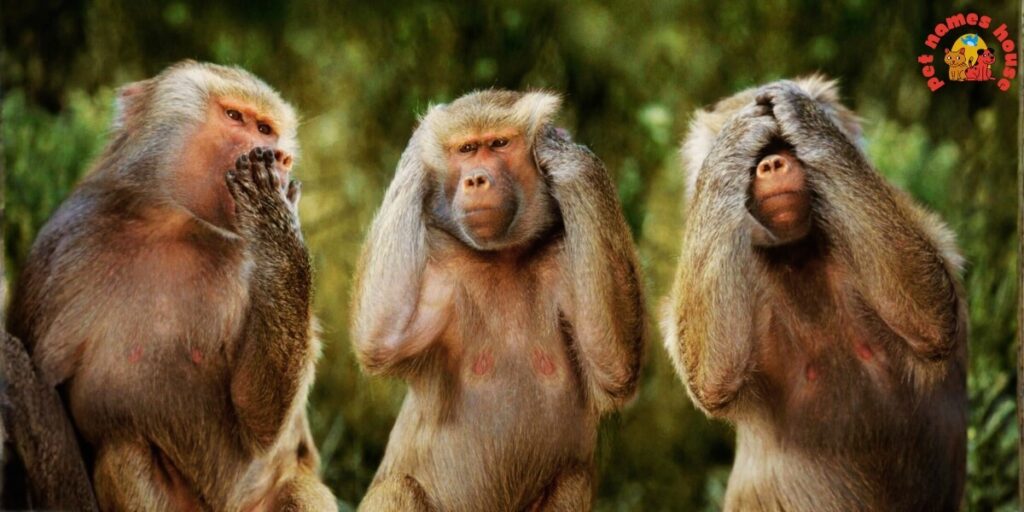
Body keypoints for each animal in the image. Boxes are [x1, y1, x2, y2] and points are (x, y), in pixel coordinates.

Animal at [7, 60, 337, 512]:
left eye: (268, 128)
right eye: (237, 118)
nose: (282, 157)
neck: (173, 225)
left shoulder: (248, 262)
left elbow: (258, 422)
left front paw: (274, 218)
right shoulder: (65, 242)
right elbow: (40, 388)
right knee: (124, 452)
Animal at [351, 90, 645, 511]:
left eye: (499, 144)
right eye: (467, 149)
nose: (476, 179)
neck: (504, 256)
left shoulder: (565, 256)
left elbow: (615, 368)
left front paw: (565, 154)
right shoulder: (442, 263)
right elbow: (381, 339)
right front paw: (417, 148)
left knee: (572, 481)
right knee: (396, 489)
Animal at [661, 77, 967, 511]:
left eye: (785, 145)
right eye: (758, 155)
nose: (771, 164)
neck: (799, 253)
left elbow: (934, 318)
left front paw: (801, 111)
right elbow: (712, 376)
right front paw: (735, 135)